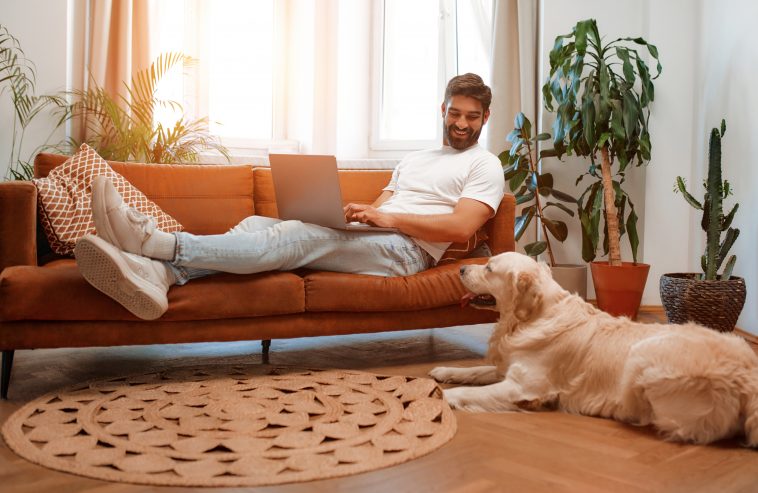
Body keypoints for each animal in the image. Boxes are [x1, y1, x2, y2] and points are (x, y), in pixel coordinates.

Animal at [434, 252, 758, 444]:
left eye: (489, 268)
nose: (461, 268)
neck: (532, 317)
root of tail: (748, 378)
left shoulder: (522, 385)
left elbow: (463, 392)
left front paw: (440, 397)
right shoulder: (509, 368)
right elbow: (476, 370)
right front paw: (442, 370)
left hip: (643, 355)